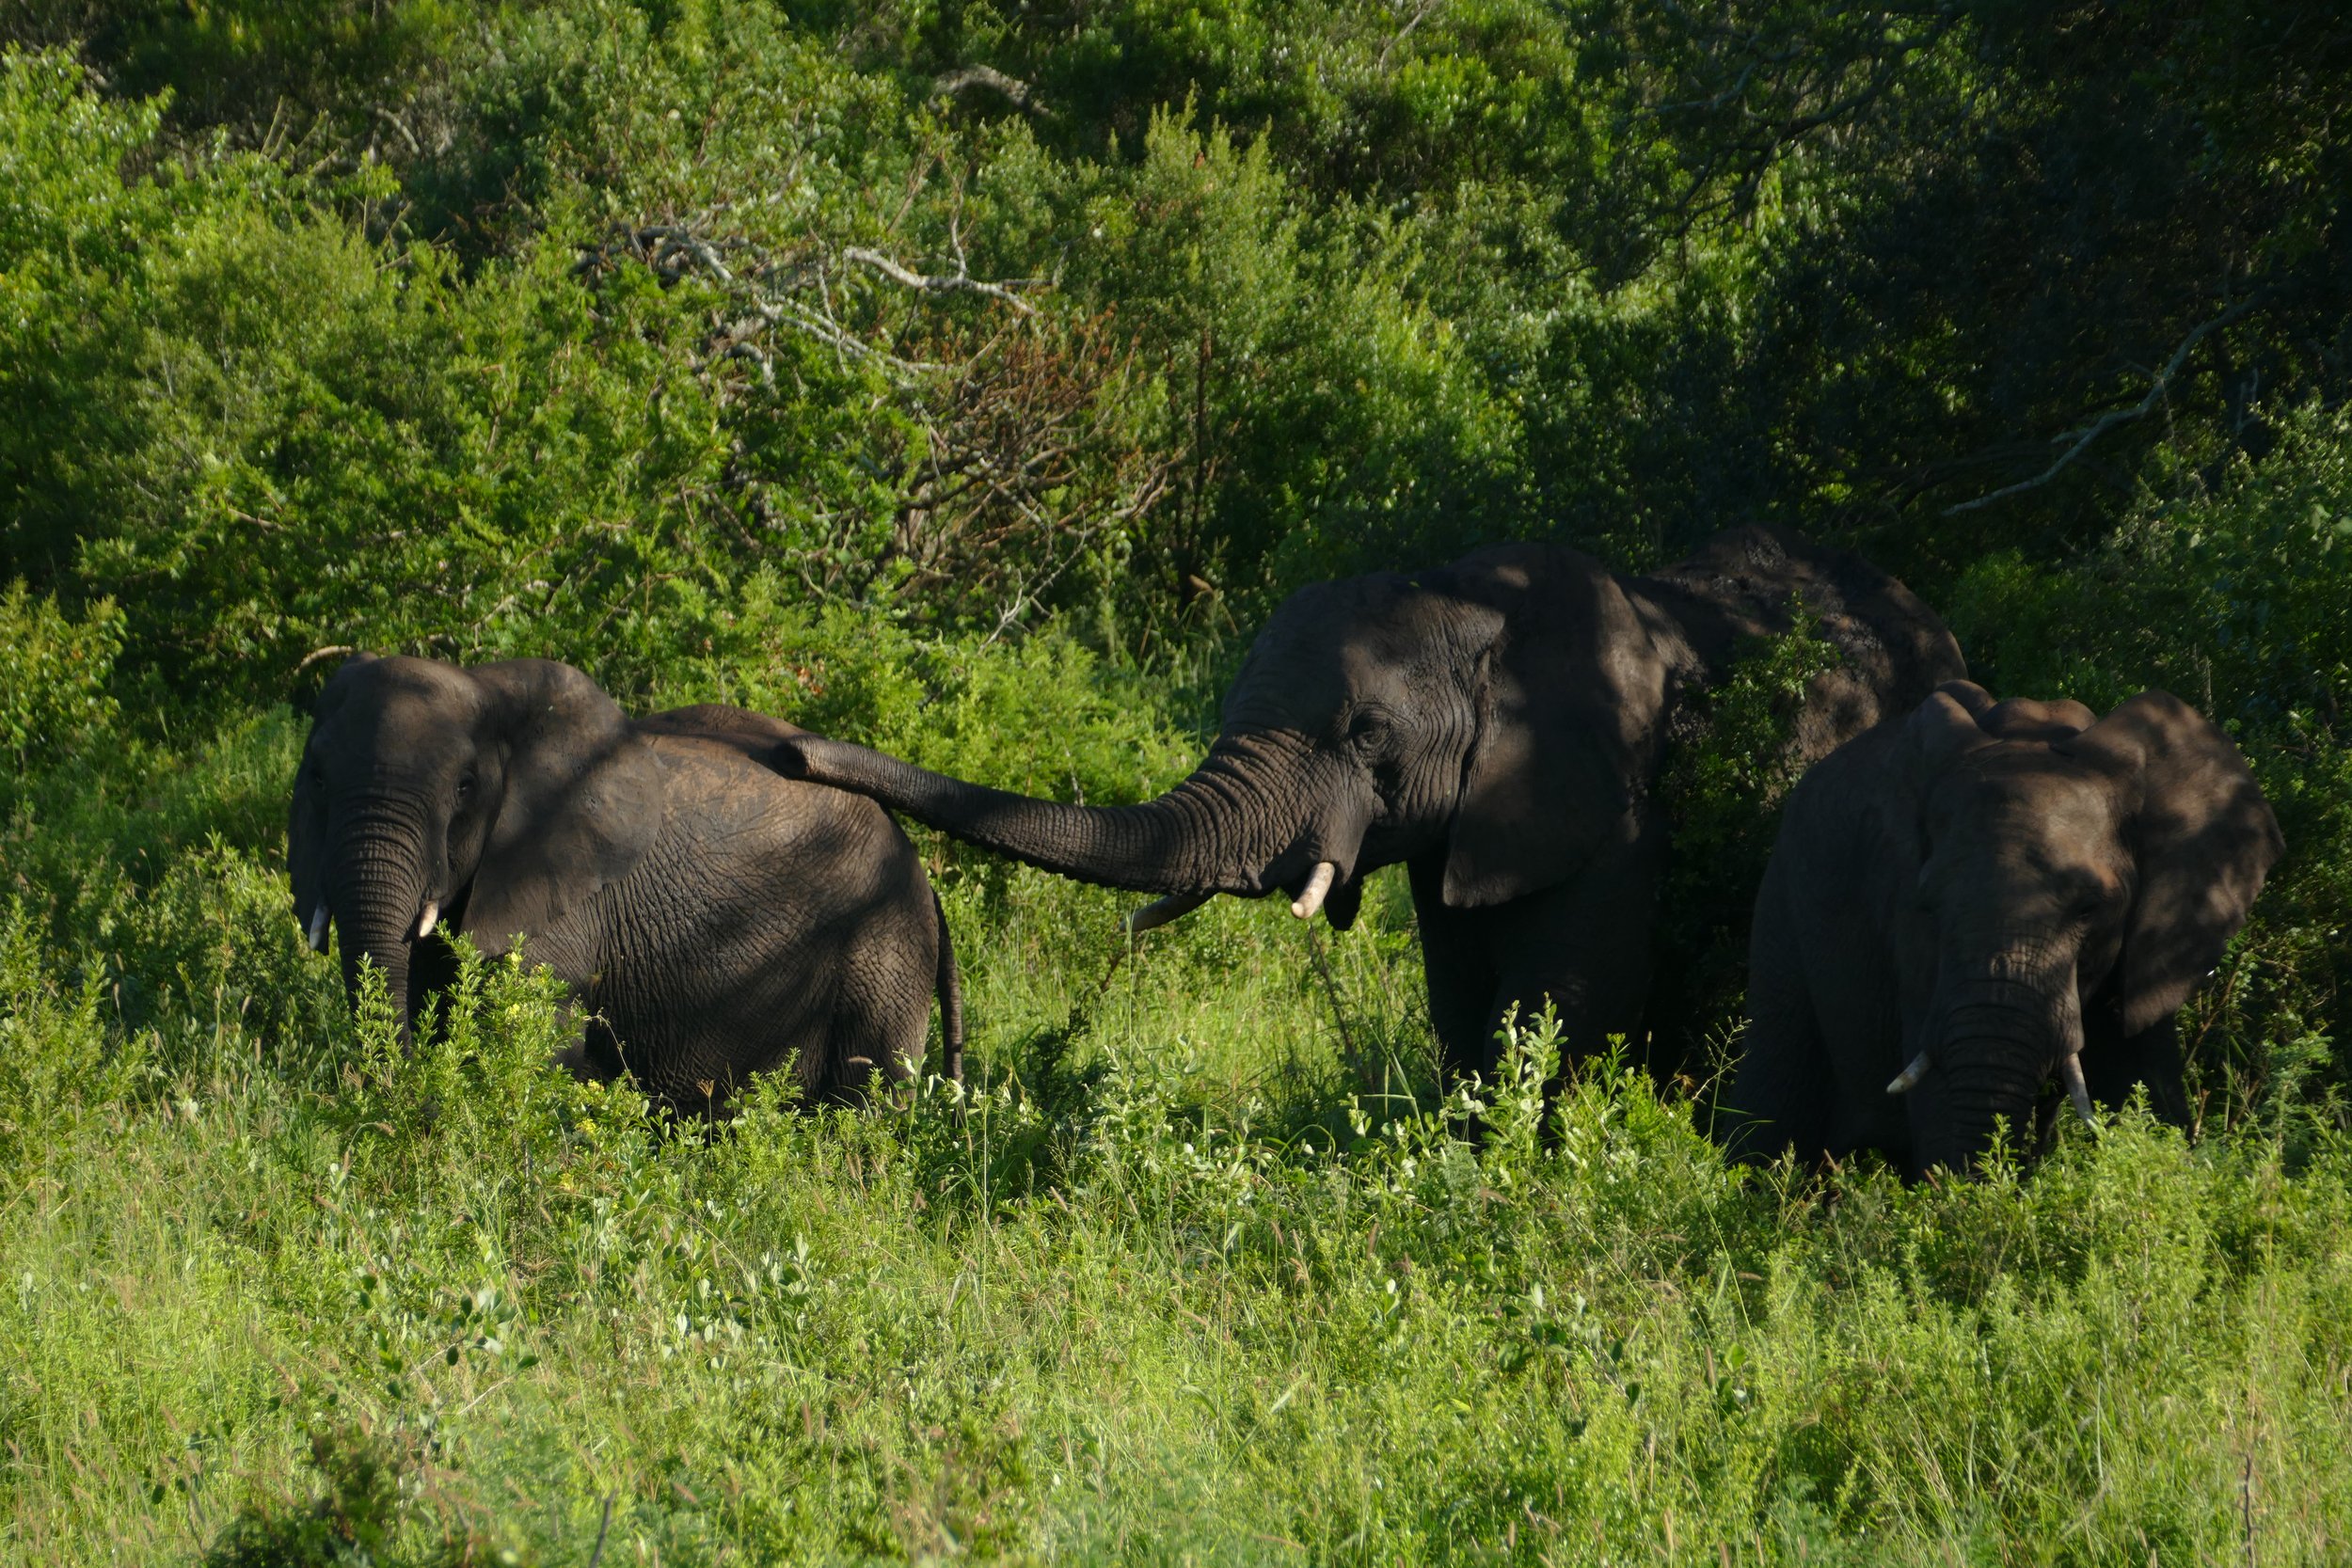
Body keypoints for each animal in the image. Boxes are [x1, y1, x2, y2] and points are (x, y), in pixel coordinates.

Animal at [773, 524, 1965, 1084]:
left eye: (1365, 734)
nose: (790, 748)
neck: (1472, 603)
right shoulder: (1474, 827)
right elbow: (1463, 996)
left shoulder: (1615, 809)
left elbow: (1562, 1000)